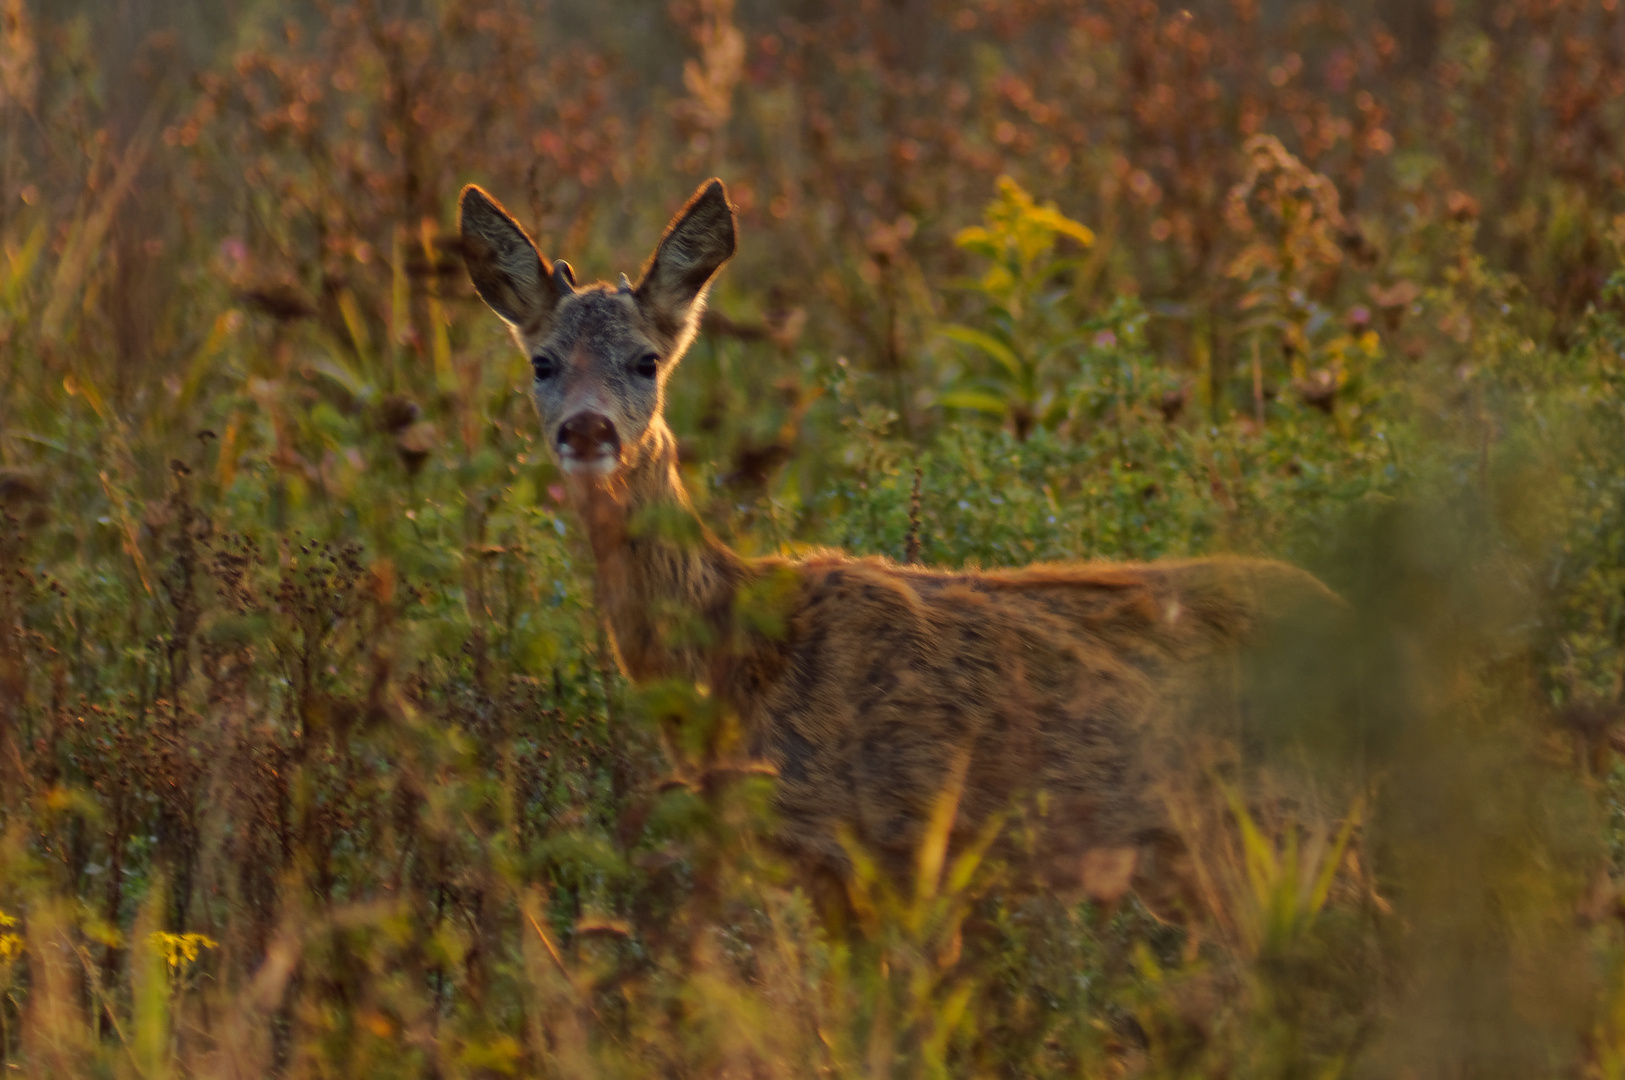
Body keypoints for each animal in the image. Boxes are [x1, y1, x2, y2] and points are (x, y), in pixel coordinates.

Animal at [461, 177, 1345, 915]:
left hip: (1291, 827)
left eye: (646, 360)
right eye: (541, 363)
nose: (587, 431)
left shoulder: (904, 837)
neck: (737, 651)